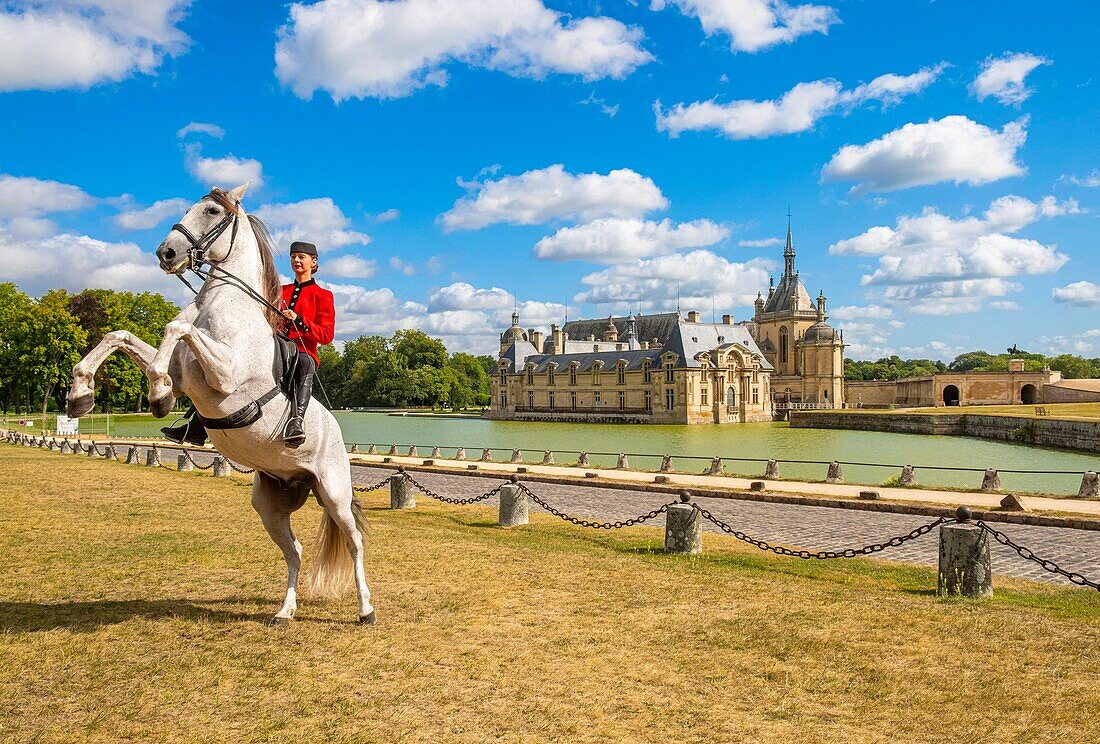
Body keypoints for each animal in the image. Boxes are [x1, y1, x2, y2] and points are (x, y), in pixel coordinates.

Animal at [65, 182, 374, 625]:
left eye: (212, 211)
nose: (166, 253)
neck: (224, 303)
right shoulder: (186, 379)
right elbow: (120, 334)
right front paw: (81, 393)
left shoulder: (224, 374)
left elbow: (175, 327)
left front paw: (156, 393)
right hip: (269, 504)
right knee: (295, 552)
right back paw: (285, 610)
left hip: (333, 494)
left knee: (354, 543)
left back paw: (366, 608)